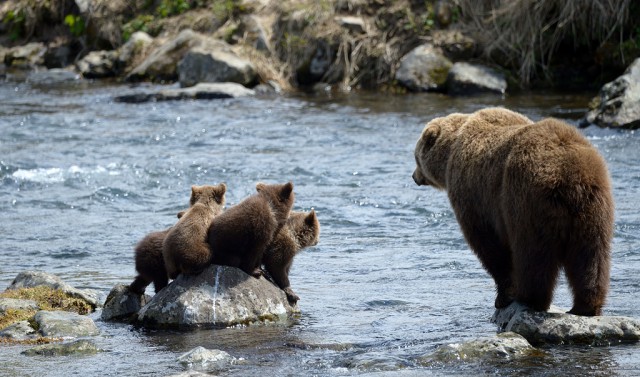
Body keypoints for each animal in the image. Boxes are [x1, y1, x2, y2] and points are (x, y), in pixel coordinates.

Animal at [412, 107, 612, 316]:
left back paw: (530, 298)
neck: (450, 152)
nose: (414, 176)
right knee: (591, 256)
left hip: (525, 200)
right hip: (594, 207)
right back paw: (586, 306)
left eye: (416, 157)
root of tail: (568, 175)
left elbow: (489, 245)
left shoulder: (474, 196)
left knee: (532, 254)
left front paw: (503, 296)